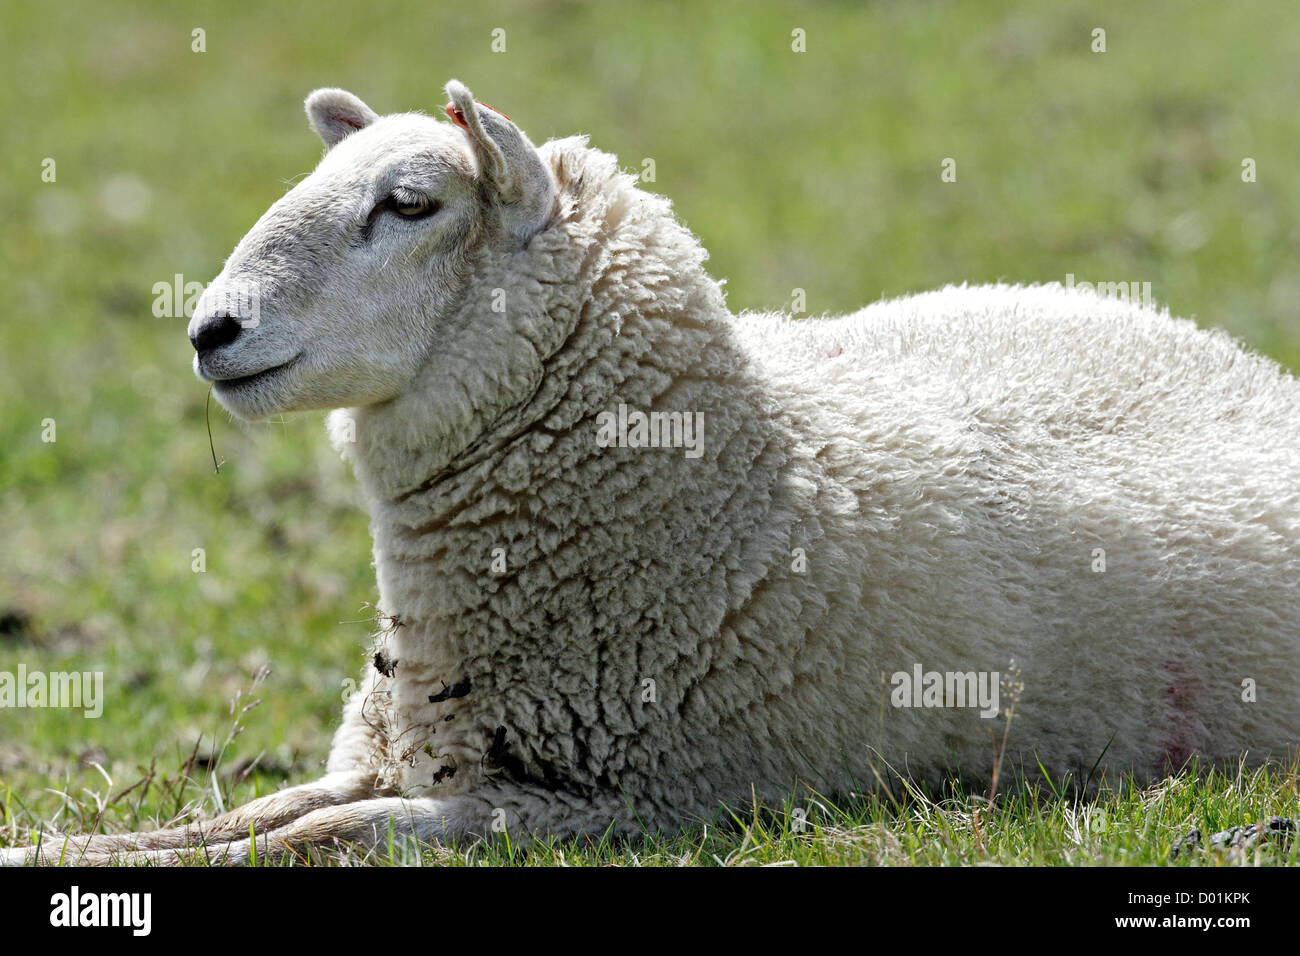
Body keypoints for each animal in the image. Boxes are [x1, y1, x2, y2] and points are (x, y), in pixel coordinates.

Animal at [6, 78, 1300, 866]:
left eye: (408, 203)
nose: (209, 330)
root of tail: (1247, 365)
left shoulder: (606, 799)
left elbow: (314, 836)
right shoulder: (415, 754)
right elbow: (261, 808)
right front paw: (62, 847)